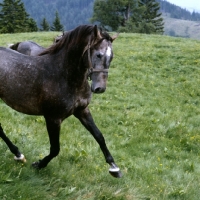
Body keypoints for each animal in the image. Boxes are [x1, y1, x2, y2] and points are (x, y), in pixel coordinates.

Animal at [0, 24, 122, 177]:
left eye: (111, 57)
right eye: (98, 55)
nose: (100, 88)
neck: (64, 75)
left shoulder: (82, 110)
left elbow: (99, 136)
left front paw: (114, 167)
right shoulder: (53, 118)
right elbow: (55, 149)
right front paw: (39, 164)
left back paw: (18, 154)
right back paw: (18, 154)